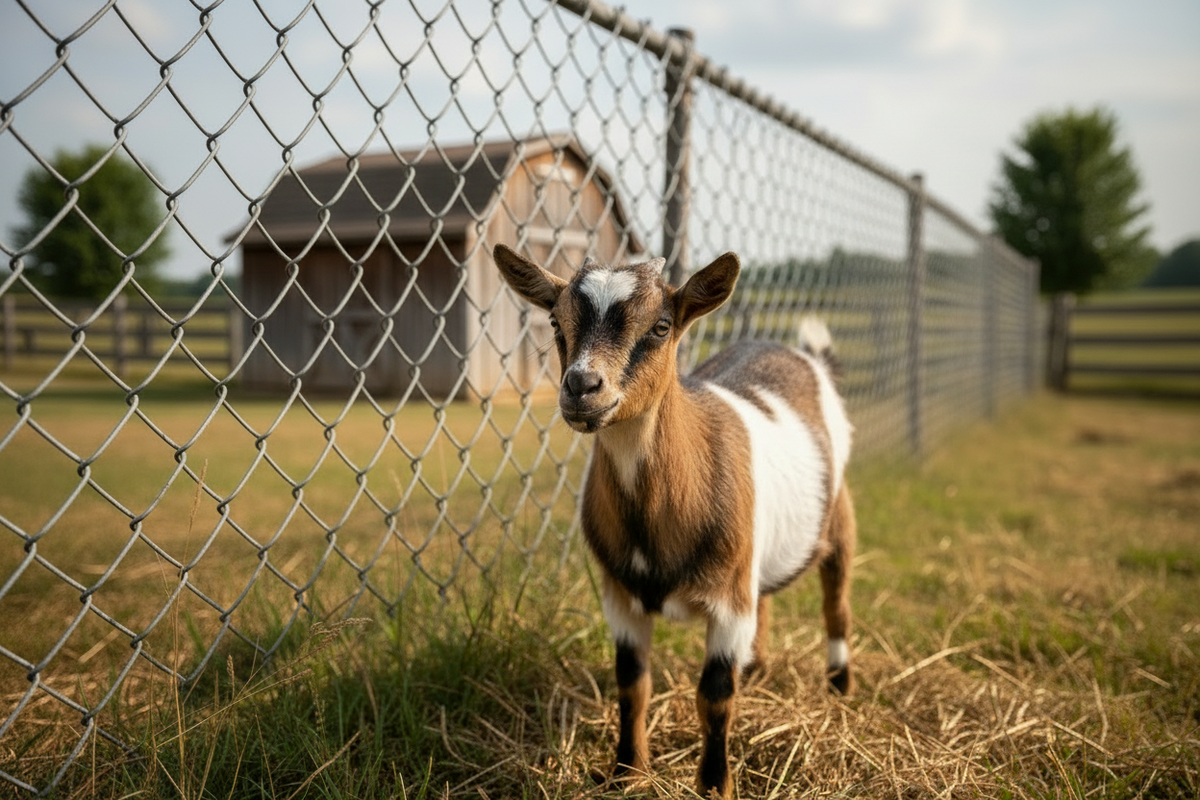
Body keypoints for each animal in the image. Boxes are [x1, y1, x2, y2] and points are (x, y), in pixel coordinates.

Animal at [492, 244, 856, 798]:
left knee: (836, 602)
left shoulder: (728, 603)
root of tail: (806, 358)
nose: (582, 386)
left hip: (837, 517)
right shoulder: (621, 596)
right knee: (767, 601)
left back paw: (839, 687)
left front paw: (714, 785)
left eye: (661, 326)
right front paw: (627, 771)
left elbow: (715, 695)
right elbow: (632, 685)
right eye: (555, 321)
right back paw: (759, 670)